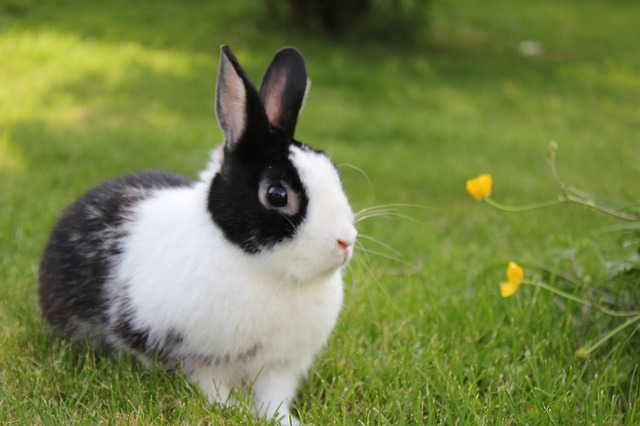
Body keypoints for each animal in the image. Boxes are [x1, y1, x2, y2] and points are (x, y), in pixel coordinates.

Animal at [39, 45, 357, 425]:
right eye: (277, 194)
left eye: (334, 173)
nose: (346, 241)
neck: (263, 269)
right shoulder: (196, 358)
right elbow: (212, 386)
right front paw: (232, 410)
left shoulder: (279, 366)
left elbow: (273, 397)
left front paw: (282, 419)